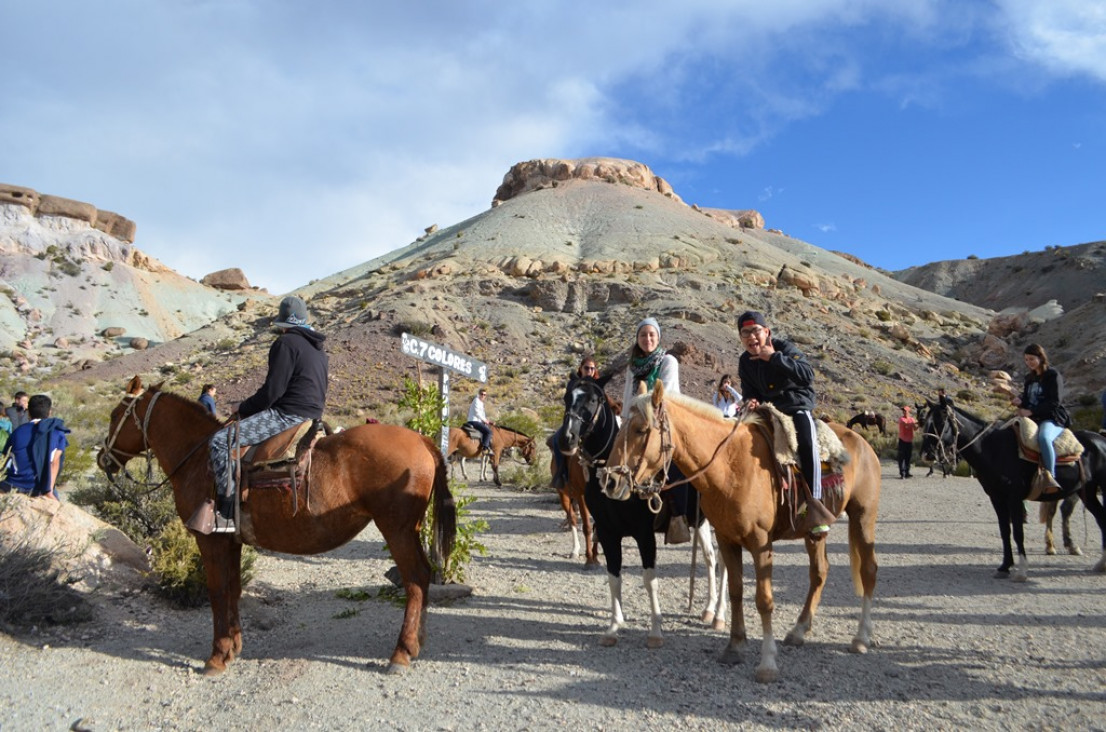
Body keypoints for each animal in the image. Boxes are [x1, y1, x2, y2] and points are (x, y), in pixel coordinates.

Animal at [98, 380, 453, 681]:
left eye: (115, 415)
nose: (103, 458)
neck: (199, 459)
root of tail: (422, 439)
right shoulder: (231, 542)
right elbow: (234, 589)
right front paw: (233, 647)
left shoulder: (210, 541)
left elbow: (217, 591)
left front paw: (217, 657)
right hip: (409, 529)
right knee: (422, 577)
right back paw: (415, 643)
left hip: (397, 529)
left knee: (415, 578)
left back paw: (401, 652)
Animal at [557, 380, 729, 645]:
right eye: (567, 398)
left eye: (592, 401)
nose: (567, 438)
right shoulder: (607, 533)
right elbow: (614, 577)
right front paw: (613, 627)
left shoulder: (644, 535)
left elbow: (650, 580)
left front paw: (656, 632)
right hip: (700, 522)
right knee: (710, 558)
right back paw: (709, 610)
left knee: (724, 563)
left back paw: (719, 615)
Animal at [597, 384, 880, 689]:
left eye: (640, 429)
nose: (610, 481)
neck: (730, 466)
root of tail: (862, 443)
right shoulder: (726, 538)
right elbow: (735, 591)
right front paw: (734, 646)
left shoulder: (760, 543)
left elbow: (764, 599)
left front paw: (767, 663)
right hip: (814, 534)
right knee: (819, 572)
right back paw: (799, 630)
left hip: (863, 517)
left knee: (868, 569)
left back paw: (861, 637)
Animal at [915, 398, 1106, 583]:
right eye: (925, 421)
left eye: (940, 421)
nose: (926, 454)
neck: (992, 448)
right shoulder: (996, 497)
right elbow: (1005, 531)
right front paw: (1005, 566)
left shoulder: (1013, 498)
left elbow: (1018, 533)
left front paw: (1021, 571)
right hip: (1087, 492)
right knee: (1100, 517)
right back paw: (1100, 564)